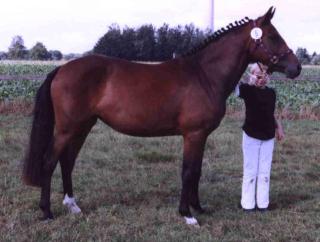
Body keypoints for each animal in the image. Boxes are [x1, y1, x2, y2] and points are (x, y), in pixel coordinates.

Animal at [22, 6, 300, 225]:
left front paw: (198, 207)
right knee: (49, 161)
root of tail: (62, 69)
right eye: (273, 36)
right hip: (67, 128)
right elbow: (188, 171)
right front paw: (187, 214)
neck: (204, 75)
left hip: (83, 126)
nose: (296, 68)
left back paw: (73, 205)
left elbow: (197, 171)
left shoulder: (201, 136)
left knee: (67, 161)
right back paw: (47, 212)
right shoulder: (193, 134)